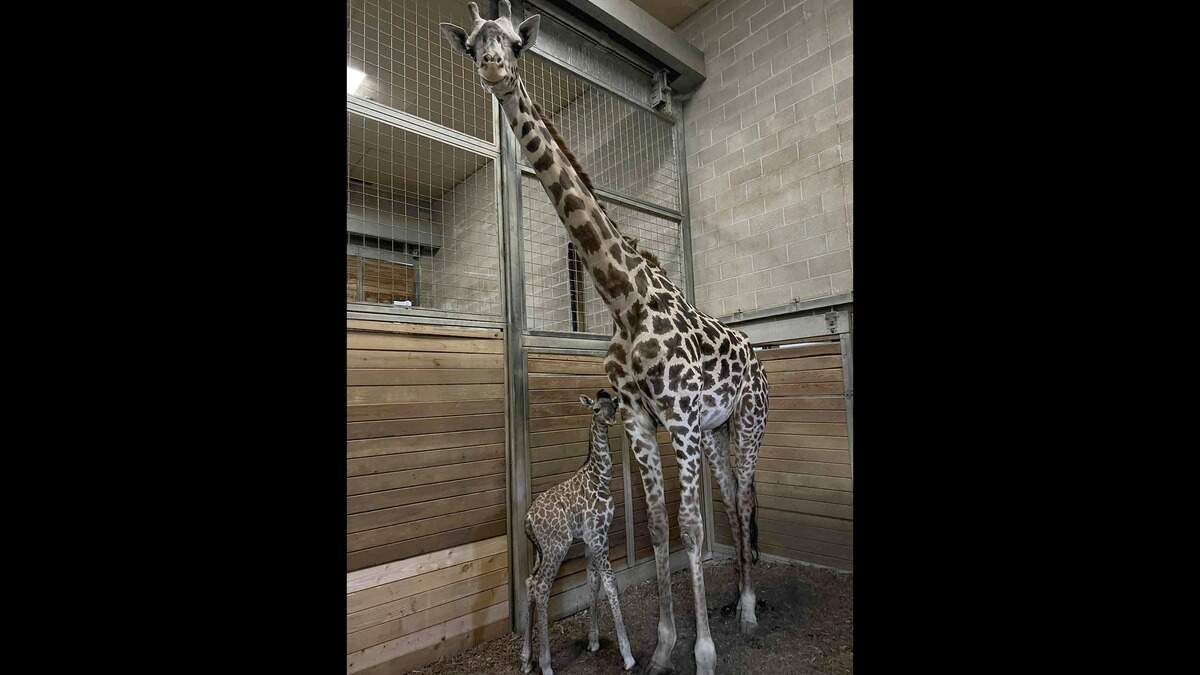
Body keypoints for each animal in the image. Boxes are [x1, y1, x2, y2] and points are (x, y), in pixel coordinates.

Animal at [521, 389, 635, 675]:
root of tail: (527, 520)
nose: (611, 418)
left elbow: (592, 582)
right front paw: (627, 655)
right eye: (595, 409)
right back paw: (546, 664)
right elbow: (610, 583)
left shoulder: (589, 539)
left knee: (529, 582)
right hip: (557, 546)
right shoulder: (599, 535)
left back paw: (526, 659)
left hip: (540, 551)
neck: (601, 478)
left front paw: (593, 642)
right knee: (541, 586)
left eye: (614, 403)